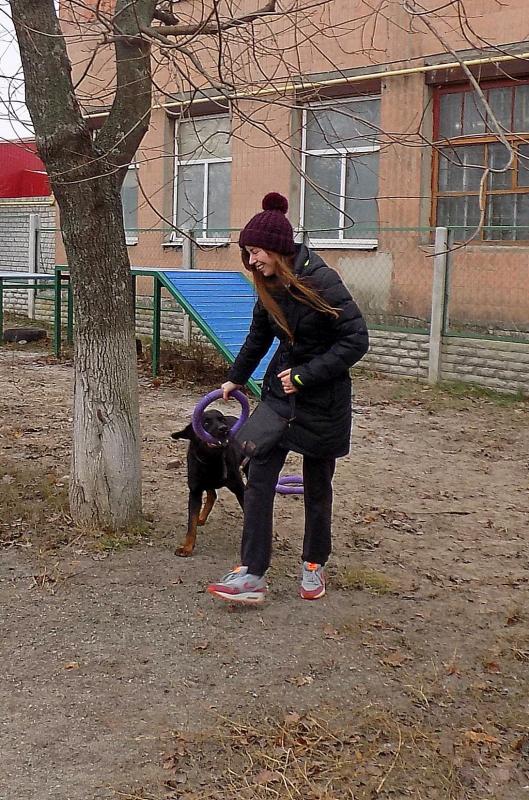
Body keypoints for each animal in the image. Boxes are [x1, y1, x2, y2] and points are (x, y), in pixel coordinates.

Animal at [171, 409, 246, 557]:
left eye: (221, 419)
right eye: (205, 423)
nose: (224, 429)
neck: (211, 460)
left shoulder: (239, 488)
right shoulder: (195, 492)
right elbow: (191, 523)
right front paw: (187, 547)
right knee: (212, 495)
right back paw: (201, 518)